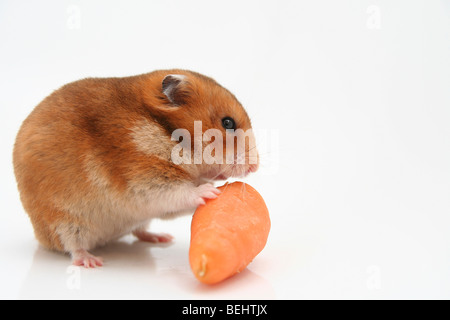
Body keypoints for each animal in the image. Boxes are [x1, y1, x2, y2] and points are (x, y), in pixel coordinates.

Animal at [12, 70, 260, 268]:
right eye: (228, 123)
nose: (255, 167)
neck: (168, 133)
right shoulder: (142, 179)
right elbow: (179, 191)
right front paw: (210, 190)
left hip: (136, 220)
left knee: (139, 231)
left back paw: (162, 238)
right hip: (64, 222)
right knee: (73, 246)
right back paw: (92, 262)